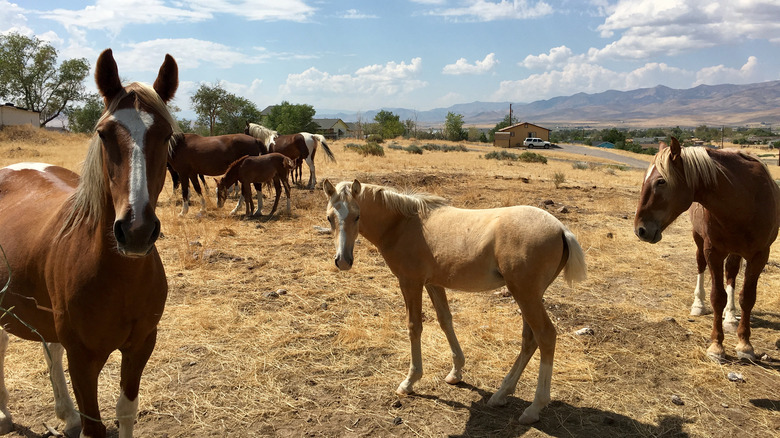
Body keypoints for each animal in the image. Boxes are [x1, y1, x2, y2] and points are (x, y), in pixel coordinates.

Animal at [0, 48, 178, 438]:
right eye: (103, 134)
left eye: (167, 135)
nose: (136, 229)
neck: (119, 278)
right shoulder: (83, 360)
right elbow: (94, 426)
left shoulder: (141, 346)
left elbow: (126, 411)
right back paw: (4, 412)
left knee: (49, 350)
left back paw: (66, 415)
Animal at [322, 178, 584, 424]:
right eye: (329, 218)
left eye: (357, 216)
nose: (343, 261)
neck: (403, 223)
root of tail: (561, 229)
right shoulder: (433, 283)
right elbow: (445, 320)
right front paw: (456, 372)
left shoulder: (410, 282)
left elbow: (414, 327)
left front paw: (410, 381)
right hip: (528, 296)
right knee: (530, 340)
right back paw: (501, 394)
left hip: (526, 295)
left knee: (545, 336)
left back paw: (534, 408)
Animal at [632, 137, 780, 360]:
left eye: (661, 181)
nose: (640, 230)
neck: (745, 201)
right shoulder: (713, 252)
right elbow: (717, 297)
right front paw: (716, 346)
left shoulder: (760, 255)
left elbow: (747, 298)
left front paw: (745, 345)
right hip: (698, 239)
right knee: (700, 266)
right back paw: (698, 305)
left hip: (736, 251)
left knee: (731, 274)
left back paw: (731, 316)